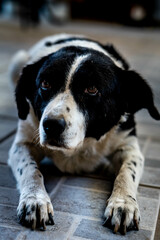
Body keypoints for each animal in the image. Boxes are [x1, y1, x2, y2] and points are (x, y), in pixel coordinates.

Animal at [7, 33, 160, 234]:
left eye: (92, 89)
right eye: (45, 84)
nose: (51, 125)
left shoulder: (129, 146)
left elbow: (127, 172)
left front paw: (123, 203)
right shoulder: (23, 143)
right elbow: (30, 169)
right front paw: (35, 199)